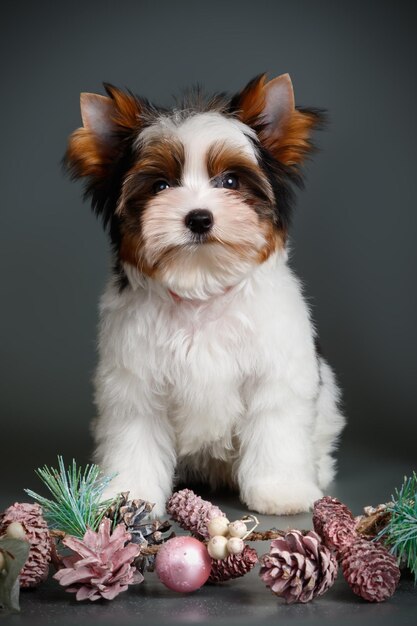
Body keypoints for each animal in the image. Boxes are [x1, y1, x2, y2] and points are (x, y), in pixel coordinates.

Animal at [65, 73, 344, 516]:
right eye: (160, 185)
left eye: (230, 181)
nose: (198, 218)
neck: (201, 289)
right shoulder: (135, 380)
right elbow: (135, 432)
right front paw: (128, 493)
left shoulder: (275, 374)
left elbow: (276, 425)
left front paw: (280, 490)